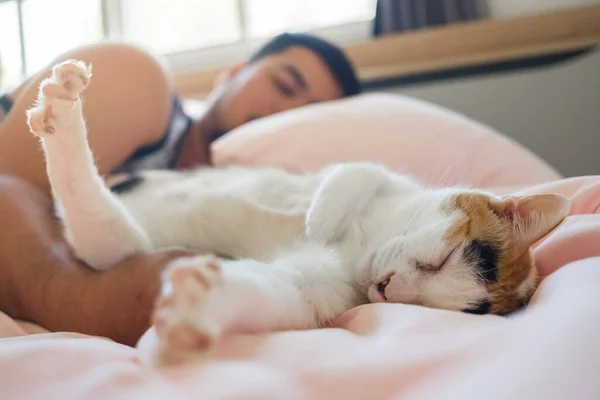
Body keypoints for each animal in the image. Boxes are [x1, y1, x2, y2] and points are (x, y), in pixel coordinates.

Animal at [25, 60, 568, 366]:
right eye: (444, 259)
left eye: (425, 308)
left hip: (117, 244)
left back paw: (60, 116)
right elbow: (354, 173)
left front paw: (191, 316)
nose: (387, 287)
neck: (360, 244)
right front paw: (321, 216)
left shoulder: (313, 290)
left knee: (97, 221)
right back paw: (61, 103)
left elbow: (266, 291)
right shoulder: (377, 177)